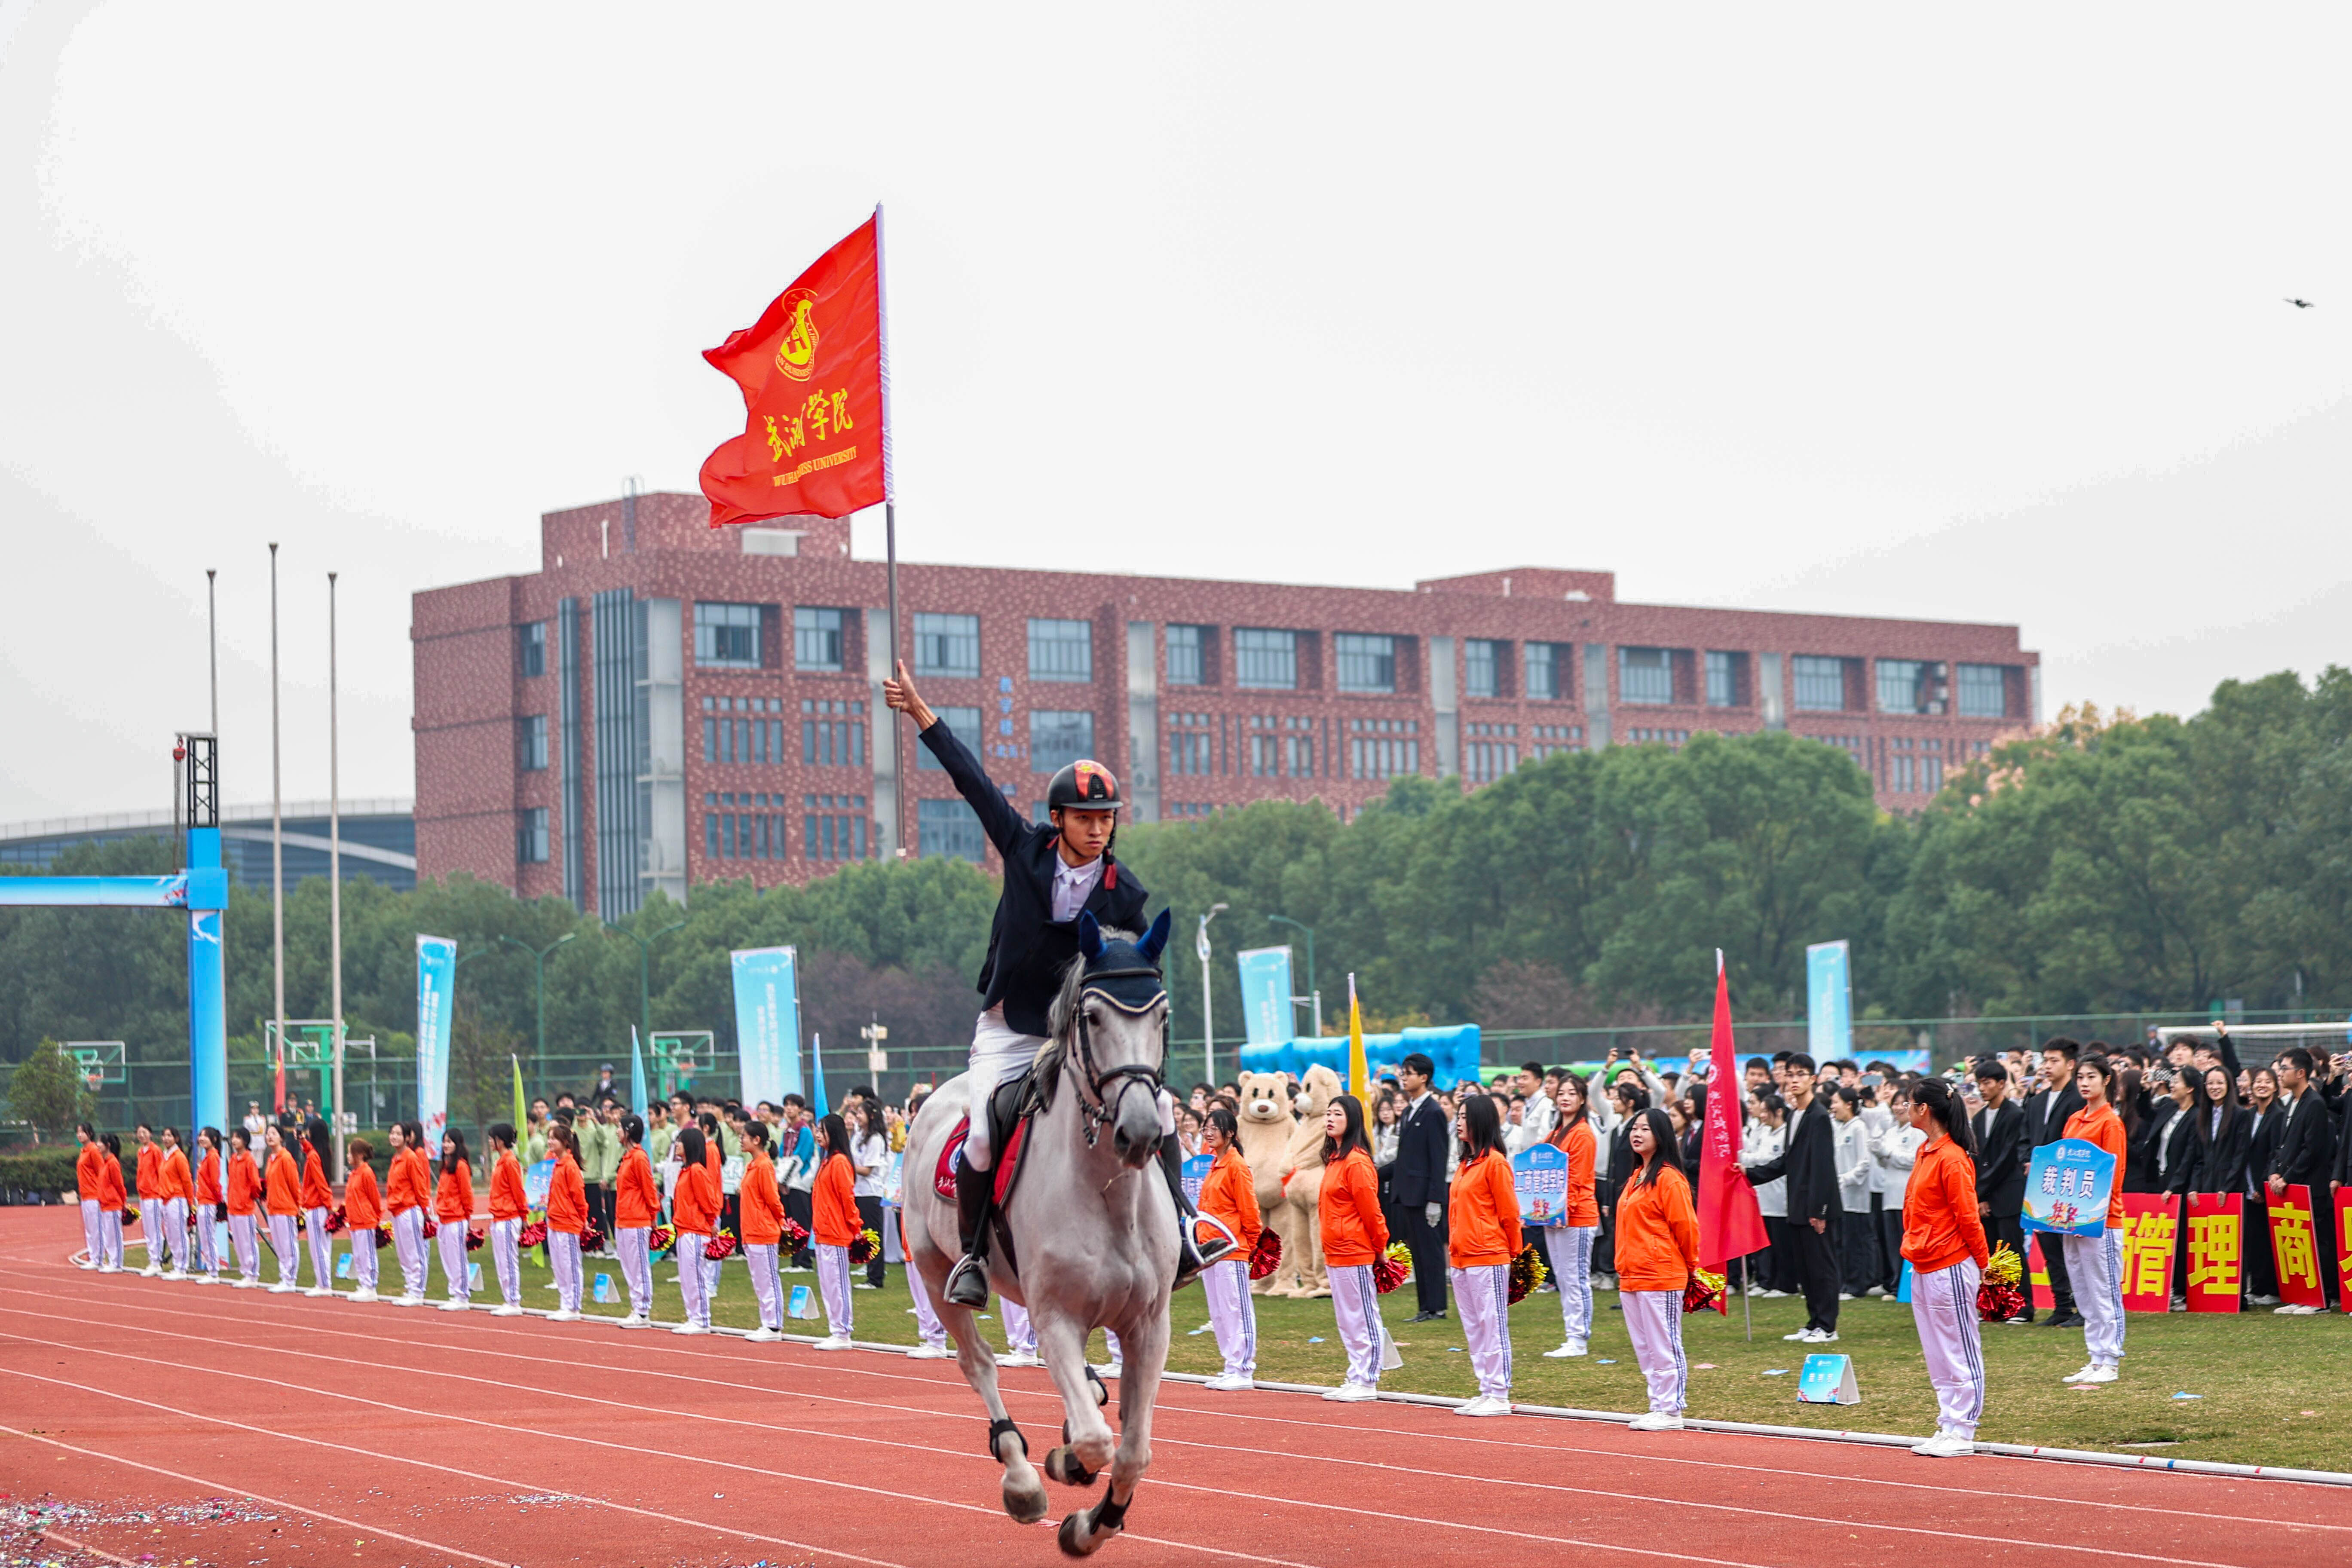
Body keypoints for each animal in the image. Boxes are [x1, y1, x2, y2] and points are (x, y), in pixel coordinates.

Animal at [908, 907, 1185, 1561]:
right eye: (1093, 1017)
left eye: (1162, 1015)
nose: (1140, 1131)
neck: (1107, 1190)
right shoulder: (1055, 1315)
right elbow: (1096, 1441)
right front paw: (1071, 1478)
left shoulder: (1149, 1323)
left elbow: (1133, 1452)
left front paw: (1093, 1524)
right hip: (935, 1275)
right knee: (979, 1364)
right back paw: (1022, 1480)